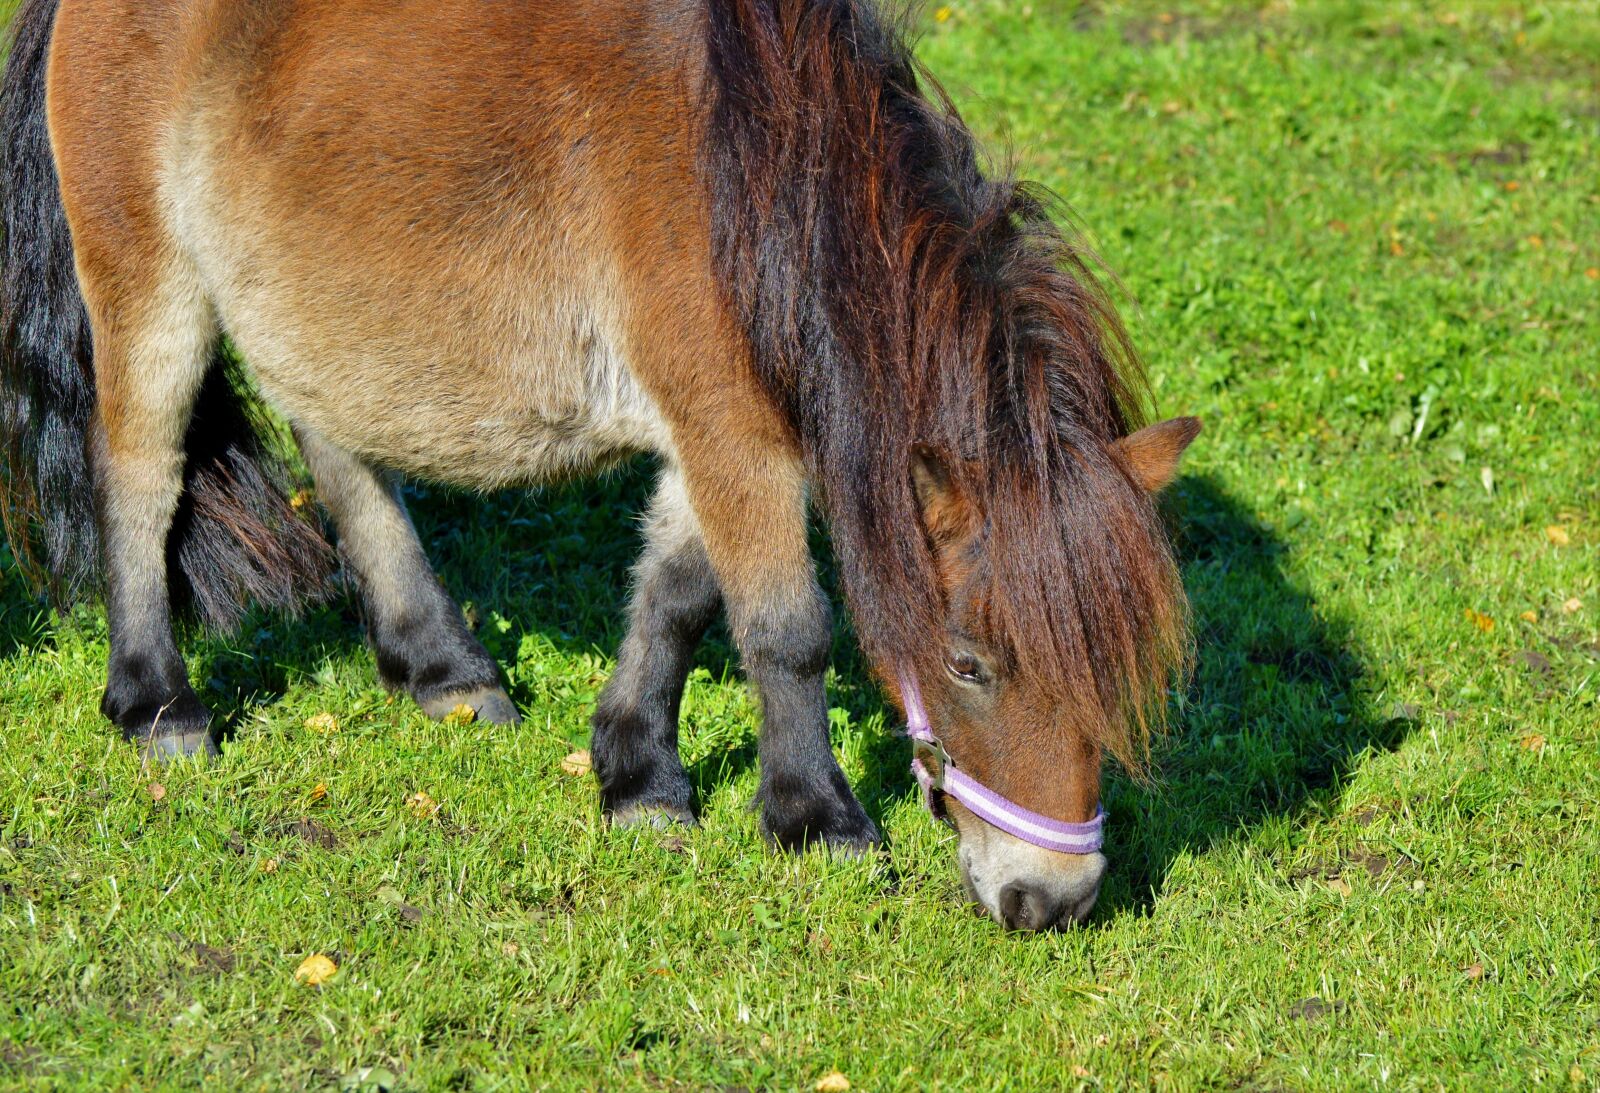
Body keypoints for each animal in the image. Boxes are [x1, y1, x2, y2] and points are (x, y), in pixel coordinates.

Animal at [0, 0, 1199, 931]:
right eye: (968, 664)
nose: (1052, 900)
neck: (753, 182)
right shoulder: (731, 433)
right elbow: (786, 629)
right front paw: (817, 817)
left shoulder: (718, 431)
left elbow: (675, 595)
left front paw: (638, 773)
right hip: (148, 281)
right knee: (141, 476)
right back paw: (158, 705)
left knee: (341, 459)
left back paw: (443, 667)